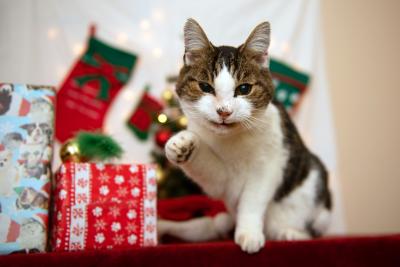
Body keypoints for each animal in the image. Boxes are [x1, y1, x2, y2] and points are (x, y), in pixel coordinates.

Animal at [161, 18, 332, 253]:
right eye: (205, 87)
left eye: (244, 89)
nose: (224, 111)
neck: (232, 141)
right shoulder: (221, 181)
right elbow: (213, 175)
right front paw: (181, 144)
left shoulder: (270, 161)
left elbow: (253, 199)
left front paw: (249, 233)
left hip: (318, 191)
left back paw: (291, 233)